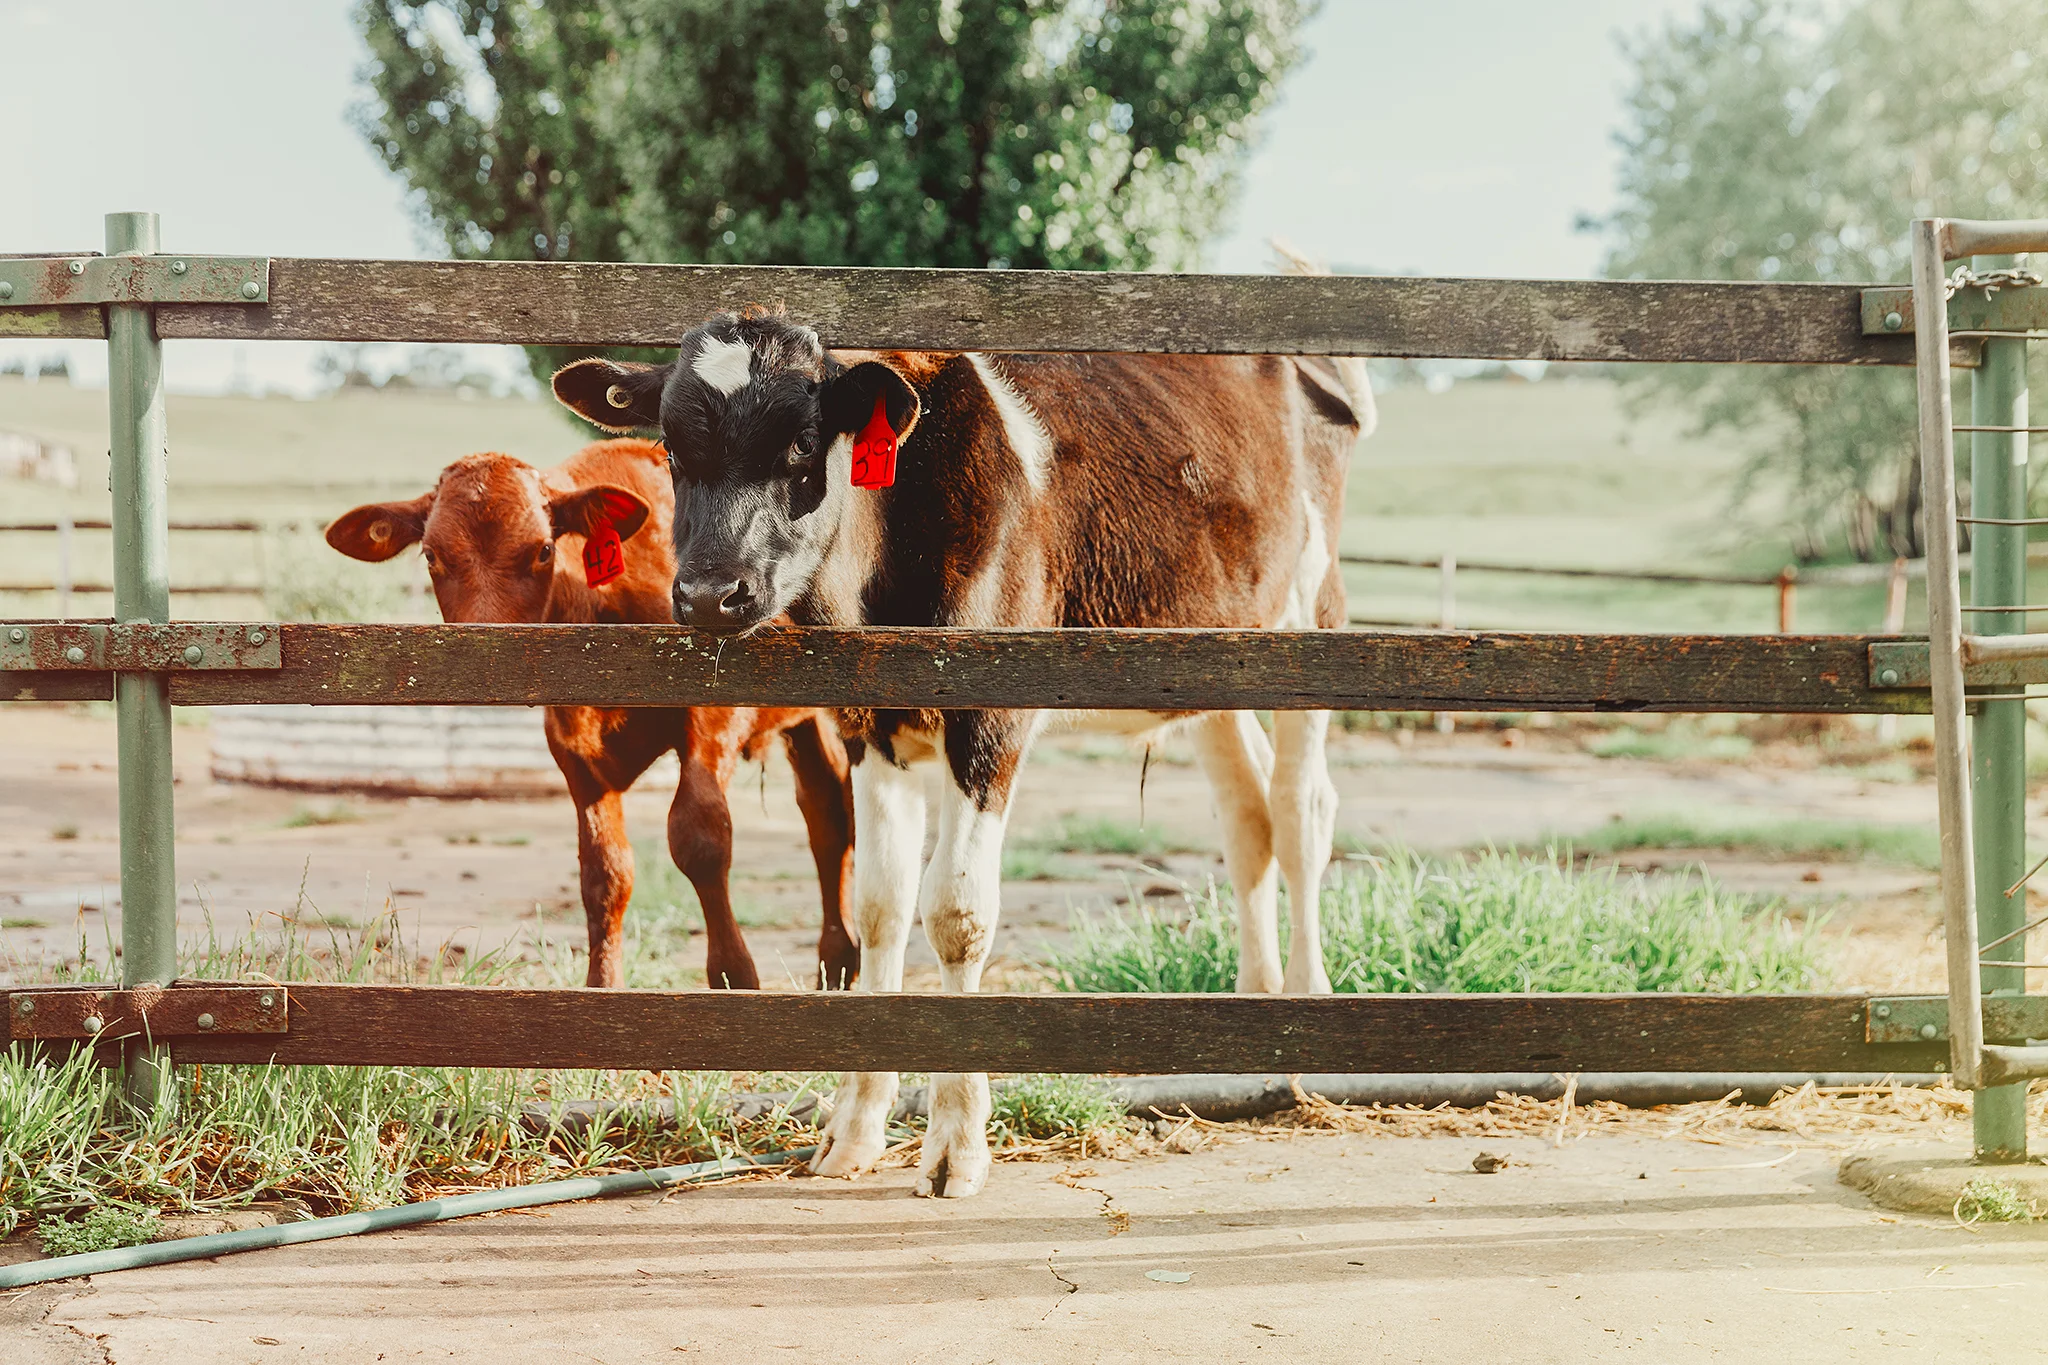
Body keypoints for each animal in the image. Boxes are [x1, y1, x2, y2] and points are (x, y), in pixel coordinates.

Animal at [325, 437, 858, 992]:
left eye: (543, 550)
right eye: (431, 554)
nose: (485, 657)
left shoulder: (713, 716)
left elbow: (701, 838)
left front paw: (735, 976)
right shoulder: (572, 745)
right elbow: (605, 872)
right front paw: (603, 986)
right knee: (826, 809)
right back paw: (838, 962)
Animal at [552, 314, 1372, 1197]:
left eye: (803, 443)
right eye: (671, 446)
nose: (710, 594)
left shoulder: (991, 715)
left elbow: (956, 912)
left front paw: (954, 1144)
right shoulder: (869, 726)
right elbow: (880, 905)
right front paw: (855, 1130)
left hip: (1310, 616)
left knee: (1300, 807)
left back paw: (1307, 1011)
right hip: (1215, 646)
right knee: (1246, 806)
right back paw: (1253, 1013)